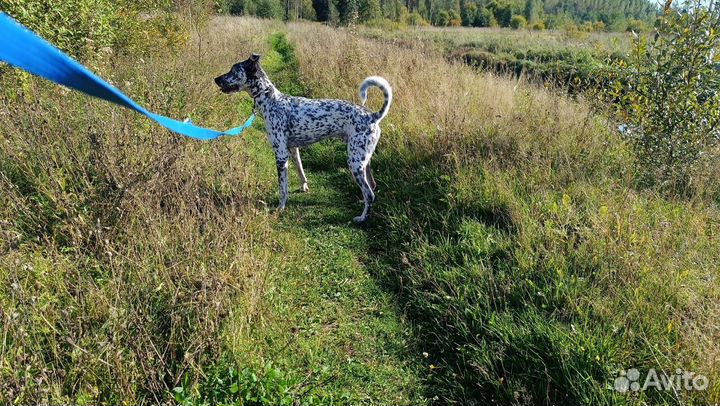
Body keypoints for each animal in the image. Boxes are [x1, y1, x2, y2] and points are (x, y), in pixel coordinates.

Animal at [215, 52, 394, 224]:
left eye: (233, 70)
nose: (216, 79)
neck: (271, 101)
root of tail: (373, 116)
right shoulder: (293, 150)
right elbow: (301, 171)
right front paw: (304, 187)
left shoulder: (281, 155)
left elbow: (283, 189)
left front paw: (280, 208)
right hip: (363, 161)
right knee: (372, 187)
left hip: (354, 162)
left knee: (370, 194)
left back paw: (362, 218)